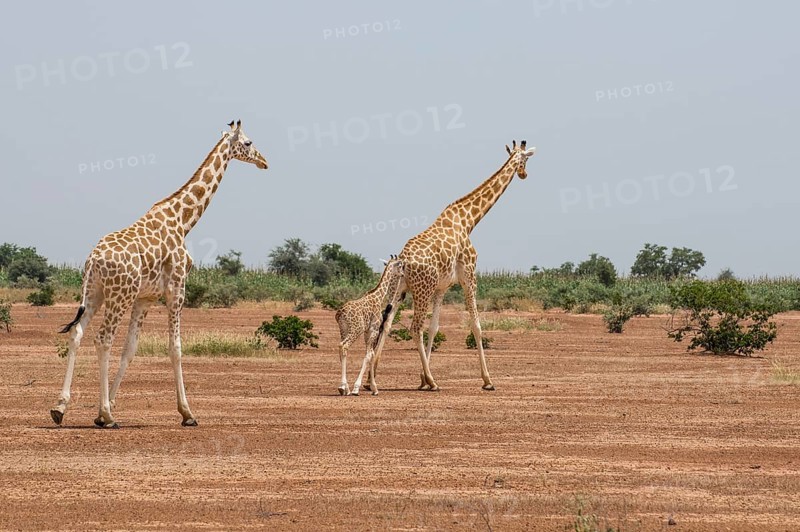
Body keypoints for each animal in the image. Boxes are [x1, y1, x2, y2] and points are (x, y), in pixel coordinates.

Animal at [50, 120, 268, 428]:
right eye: (248, 143)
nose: (264, 161)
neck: (184, 220)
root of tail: (93, 260)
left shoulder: (146, 298)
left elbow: (130, 349)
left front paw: (107, 407)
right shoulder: (177, 288)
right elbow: (175, 347)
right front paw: (187, 413)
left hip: (95, 293)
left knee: (77, 332)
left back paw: (60, 408)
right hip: (119, 295)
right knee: (103, 339)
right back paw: (108, 416)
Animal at [335, 255, 404, 396]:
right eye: (400, 265)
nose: (403, 274)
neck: (379, 296)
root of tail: (340, 313)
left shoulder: (368, 332)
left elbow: (371, 354)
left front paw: (374, 388)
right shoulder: (373, 329)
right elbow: (369, 355)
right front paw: (358, 388)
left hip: (343, 330)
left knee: (341, 347)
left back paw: (344, 387)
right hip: (355, 330)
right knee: (344, 346)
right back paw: (345, 387)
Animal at [374, 140, 536, 392]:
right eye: (526, 159)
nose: (524, 174)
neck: (469, 220)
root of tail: (404, 260)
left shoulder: (443, 287)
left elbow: (434, 328)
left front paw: (421, 379)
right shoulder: (469, 276)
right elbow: (476, 325)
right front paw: (487, 380)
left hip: (399, 289)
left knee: (387, 322)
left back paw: (372, 378)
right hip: (422, 290)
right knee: (414, 328)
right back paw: (433, 382)